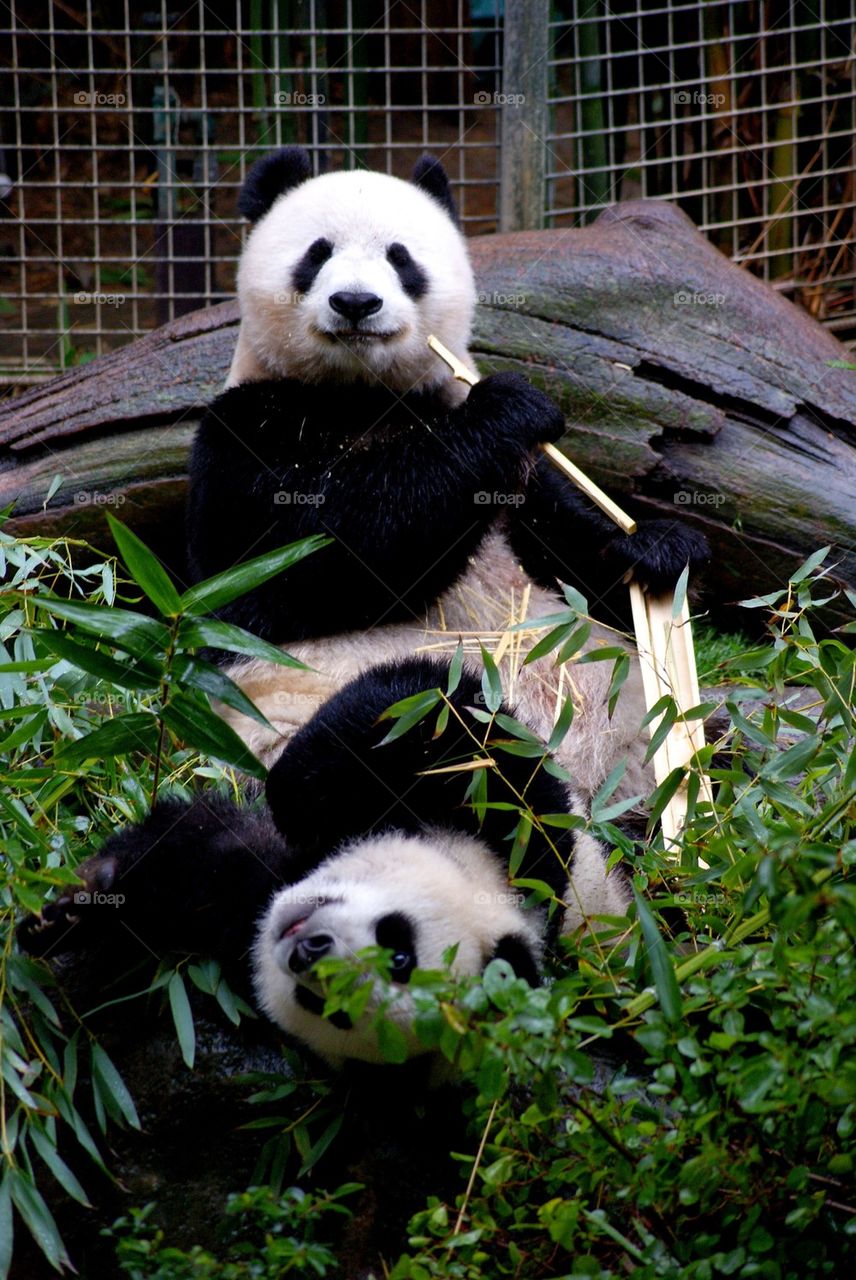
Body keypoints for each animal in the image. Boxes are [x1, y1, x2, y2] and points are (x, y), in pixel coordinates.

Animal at [19, 658, 628, 1072]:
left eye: (336, 1008)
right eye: (398, 944)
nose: (310, 952)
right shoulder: (512, 834)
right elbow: (444, 716)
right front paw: (69, 912)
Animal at [188, 147, 708, 804]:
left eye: (400, 257)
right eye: (317, 253)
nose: (355, 303)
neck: (360, 399)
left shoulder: (500, 463)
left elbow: (571, 552)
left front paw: (660, 550)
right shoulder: (245, 435)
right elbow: (318, 554)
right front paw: (508, 407)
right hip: (307, 725)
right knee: (422, 719)